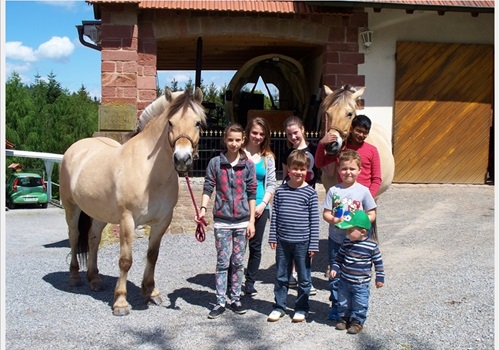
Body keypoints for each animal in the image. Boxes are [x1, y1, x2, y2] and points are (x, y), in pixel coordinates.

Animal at [59, 87, 206, 314]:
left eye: (197, 122)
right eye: (170, 123)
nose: (182, 159)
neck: (150, 173)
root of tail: (76, 148)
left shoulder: (162, 221)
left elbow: (152, 255)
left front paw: (151, 292)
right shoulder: (127, 220)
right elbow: (125, 260)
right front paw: (120, 302)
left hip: (99, 213)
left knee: (93, 239)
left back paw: (94, 279)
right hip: (71, 208)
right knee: (74, 237)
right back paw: (75, 277)